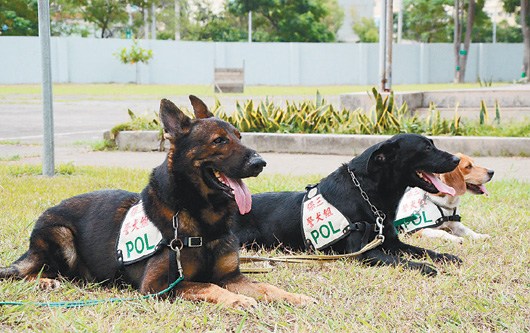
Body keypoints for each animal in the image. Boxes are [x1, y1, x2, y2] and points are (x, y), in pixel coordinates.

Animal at [0, 95, 314, 306]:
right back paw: (46, 282)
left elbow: (266, 287)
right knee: (27, 272)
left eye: (239, 136)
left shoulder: (232, 277)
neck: (202, 220)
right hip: (61, 235)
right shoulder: (158, 285)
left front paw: (294, 296)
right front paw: (236, 300)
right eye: (219, 141)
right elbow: (206, 287)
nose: (260, 163)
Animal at [235, 133, 462, 274]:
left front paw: (447, 257)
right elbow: (402, 261)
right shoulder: (363, 253)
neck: (367, 194)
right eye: (427, 148)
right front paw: (426, 268)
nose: (457, 160)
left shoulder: (392, 243)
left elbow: (424, 250)